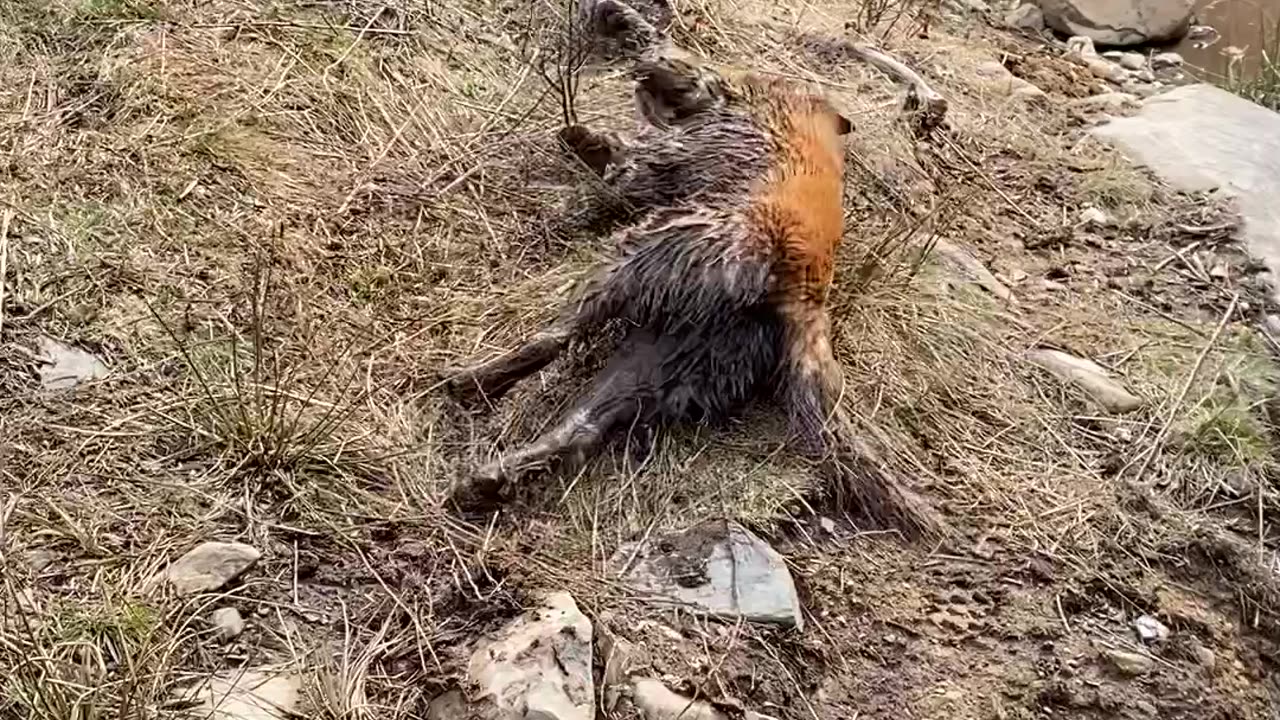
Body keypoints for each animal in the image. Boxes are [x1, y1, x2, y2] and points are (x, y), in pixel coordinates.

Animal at [442, 0, 942, 538]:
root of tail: (797, 295)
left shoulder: (693, 102)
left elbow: (653, 67)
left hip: (640, 258)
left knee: (556, 338)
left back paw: (474, 382)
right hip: (666, 360)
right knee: (583, 425)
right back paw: (488, 478)